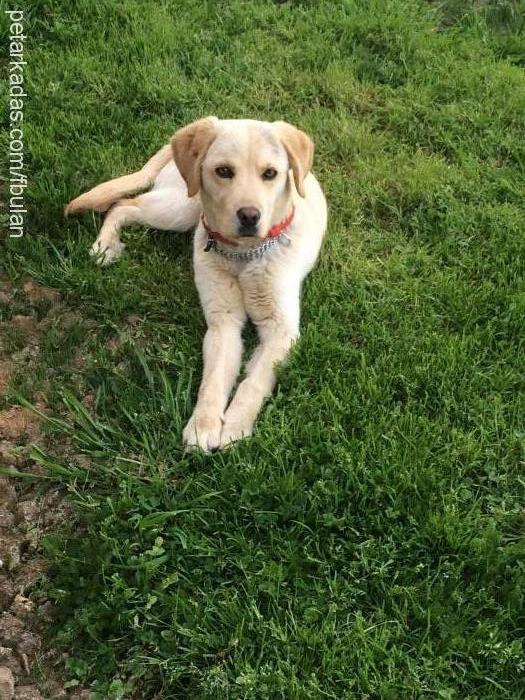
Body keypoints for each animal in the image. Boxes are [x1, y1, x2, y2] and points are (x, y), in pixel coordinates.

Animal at [65, 117, 328, 452]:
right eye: (223, 171)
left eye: (270, 173)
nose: (249, 216)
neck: (243, 255)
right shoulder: (222, 322)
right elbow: (213, 379)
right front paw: (203, 426)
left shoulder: (281, 330)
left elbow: (254, 381)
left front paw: (235, 427)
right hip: (181, 207)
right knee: (124, 204)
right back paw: (105, 246)